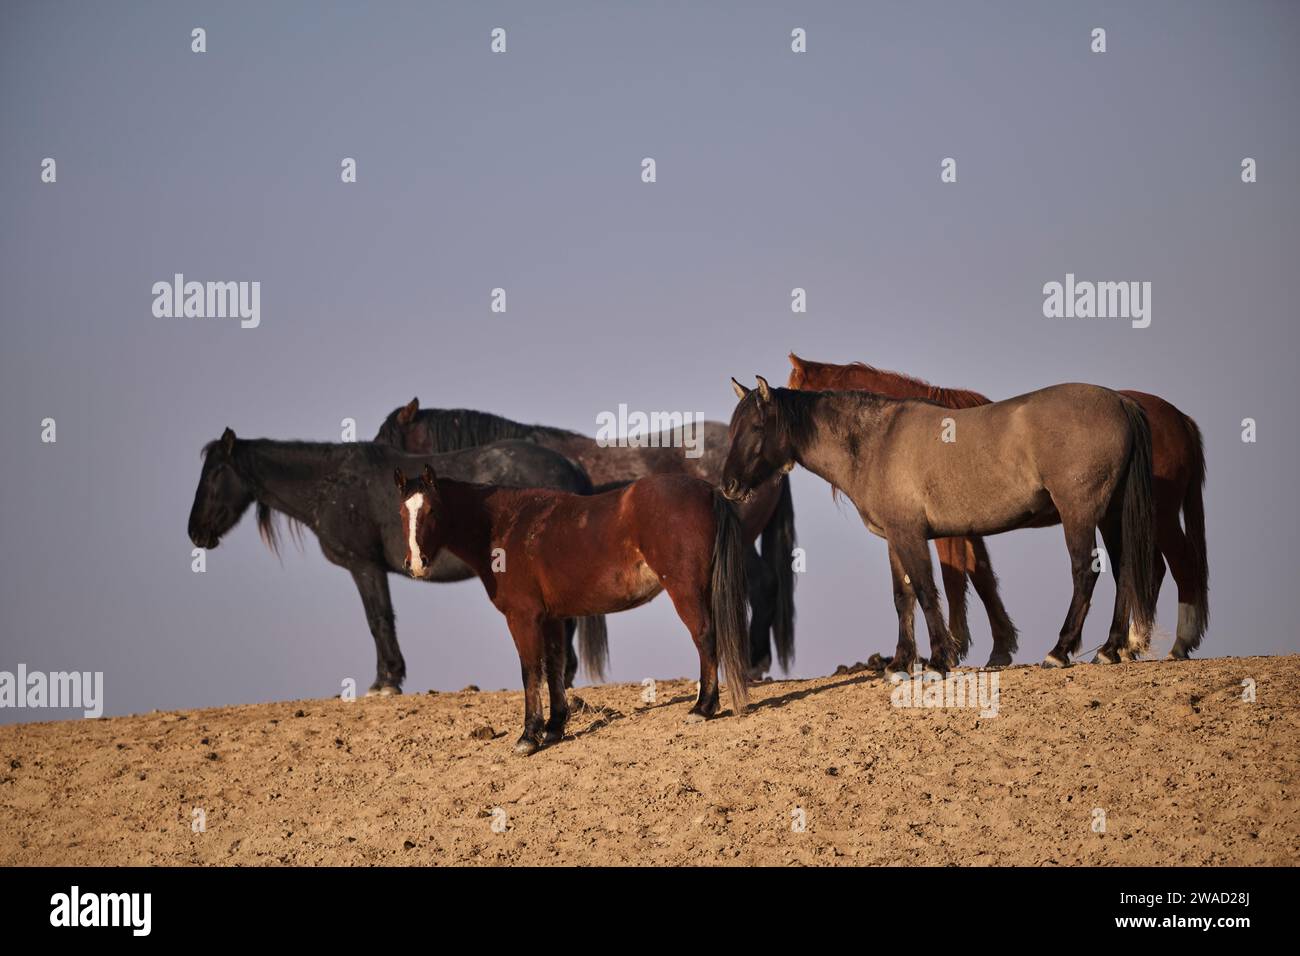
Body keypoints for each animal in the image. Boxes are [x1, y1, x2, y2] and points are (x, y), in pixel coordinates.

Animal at [187, 428, 607, 695]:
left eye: (216, 472)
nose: (195, 532)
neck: (332, 486)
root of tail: (571, 467)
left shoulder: (365, 566)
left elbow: (378, 620)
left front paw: (385, 682)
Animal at [395, 465, 749, 754]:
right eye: (401, 513)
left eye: (432, 510)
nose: (416, 565)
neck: (504, 526)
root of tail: (708, 491)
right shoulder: (552, 619)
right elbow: (554, 668)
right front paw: (554, 727)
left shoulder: (523, 618)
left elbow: (530, 671)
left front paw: (529, 736)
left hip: (685, 590)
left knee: (704, 637)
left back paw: (702, 708)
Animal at [721, 376, 1159, 672]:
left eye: (756, 428)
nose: (728, 486)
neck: (877, 442)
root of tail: (1121, 401)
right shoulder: (894, 538)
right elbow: (903, 596)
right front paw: (900, 662)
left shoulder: (910, 535)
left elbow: (927, 591)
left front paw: (939, 658)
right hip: (1111, 515)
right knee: (1124, 570)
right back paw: (1111, 648)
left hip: (1079, 513)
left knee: (1085, 572)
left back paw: (1060, 650)